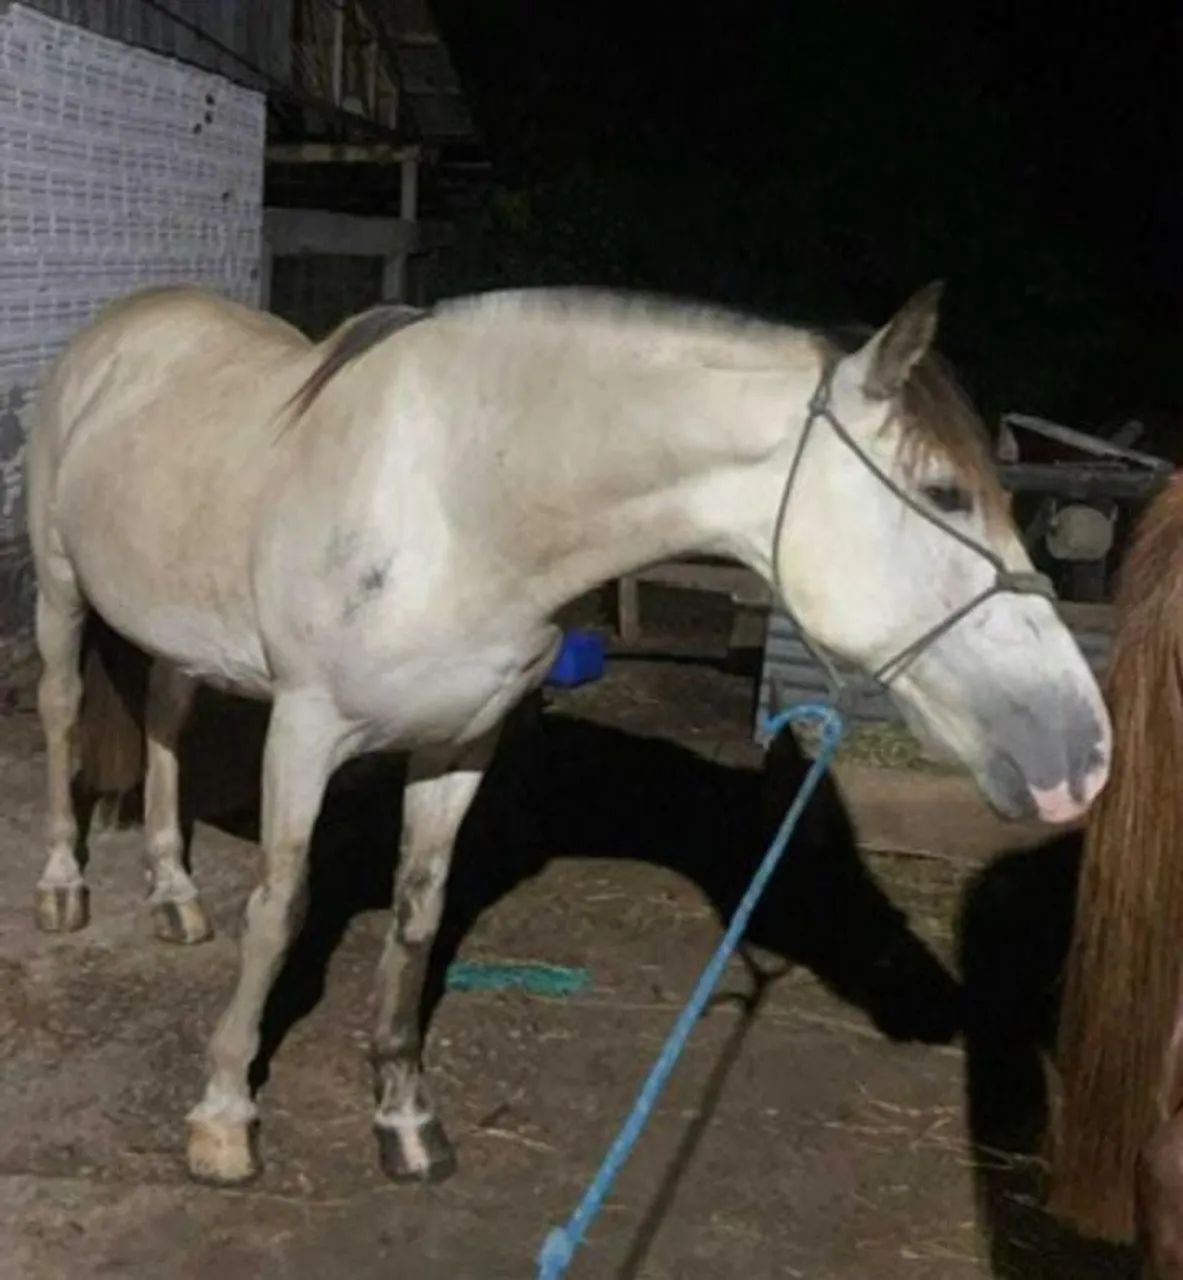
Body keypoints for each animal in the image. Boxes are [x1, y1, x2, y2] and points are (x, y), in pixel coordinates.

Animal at [26, 280, 1110, 1189]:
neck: (457, 506)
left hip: (176, 630)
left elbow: (417, 916)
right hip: (61, 594)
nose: (1082, 752)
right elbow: (279, 911)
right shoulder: (304, 730)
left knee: (166, 718)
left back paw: (172, 892)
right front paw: (223, 1116)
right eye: (944, 492)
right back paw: (64, 889)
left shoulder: (459, 745)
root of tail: (121, 321)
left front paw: (405, 1119)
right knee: (63, 718)